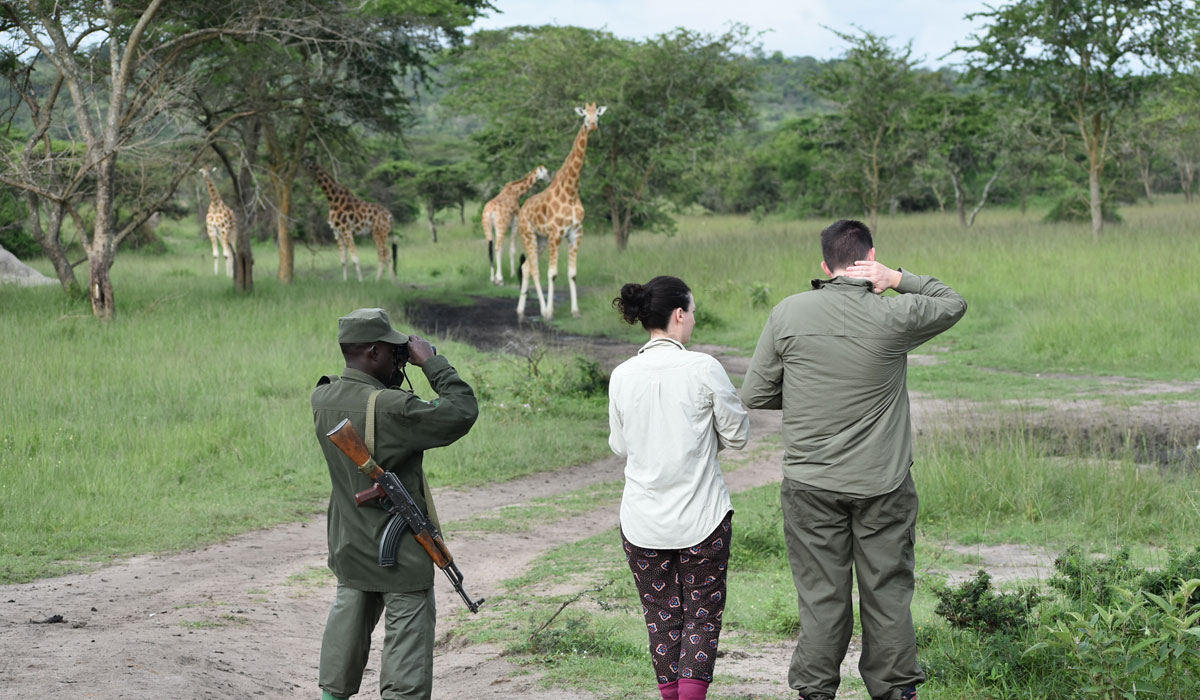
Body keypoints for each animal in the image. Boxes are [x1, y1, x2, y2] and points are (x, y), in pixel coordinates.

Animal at [516, 103, 606, 320]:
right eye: (585, 115)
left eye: (597, 115)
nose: (593, 125)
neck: (571, 191)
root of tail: (522, 209)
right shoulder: (556, 234)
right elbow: (552, 273)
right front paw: (550, 312)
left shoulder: (576, 234)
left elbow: (572, 273)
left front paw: (575, 311)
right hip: (528, 235)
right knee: (534, 269)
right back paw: (542, 310)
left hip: (540, 239)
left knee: (526, 267)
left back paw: (521, 310)